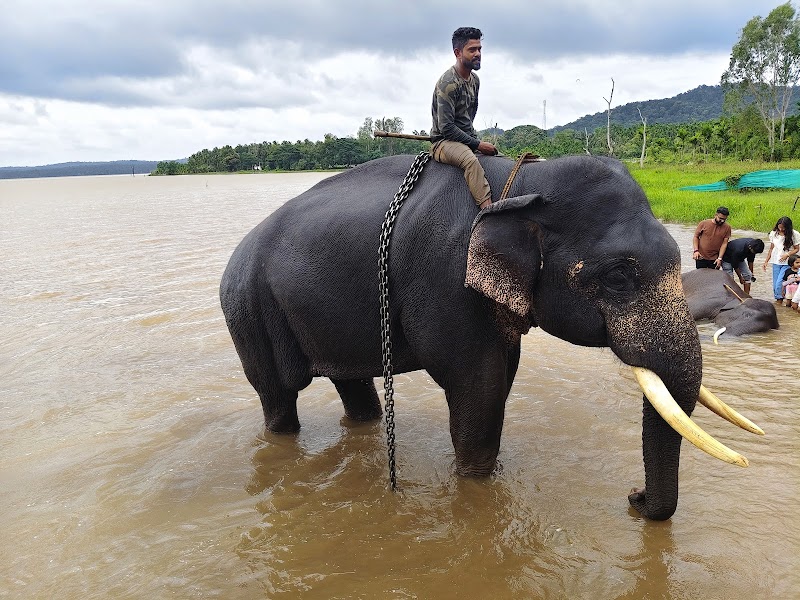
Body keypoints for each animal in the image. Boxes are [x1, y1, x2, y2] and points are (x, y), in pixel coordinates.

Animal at [220, 153, 763, 521]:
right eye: (618, 278)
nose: (633, 496)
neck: (519, 185)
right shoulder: (444, 280)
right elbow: (476, 387)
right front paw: (475, 482)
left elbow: (502, 378)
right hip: (247, 309)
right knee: (277, 395)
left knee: (352, 386)